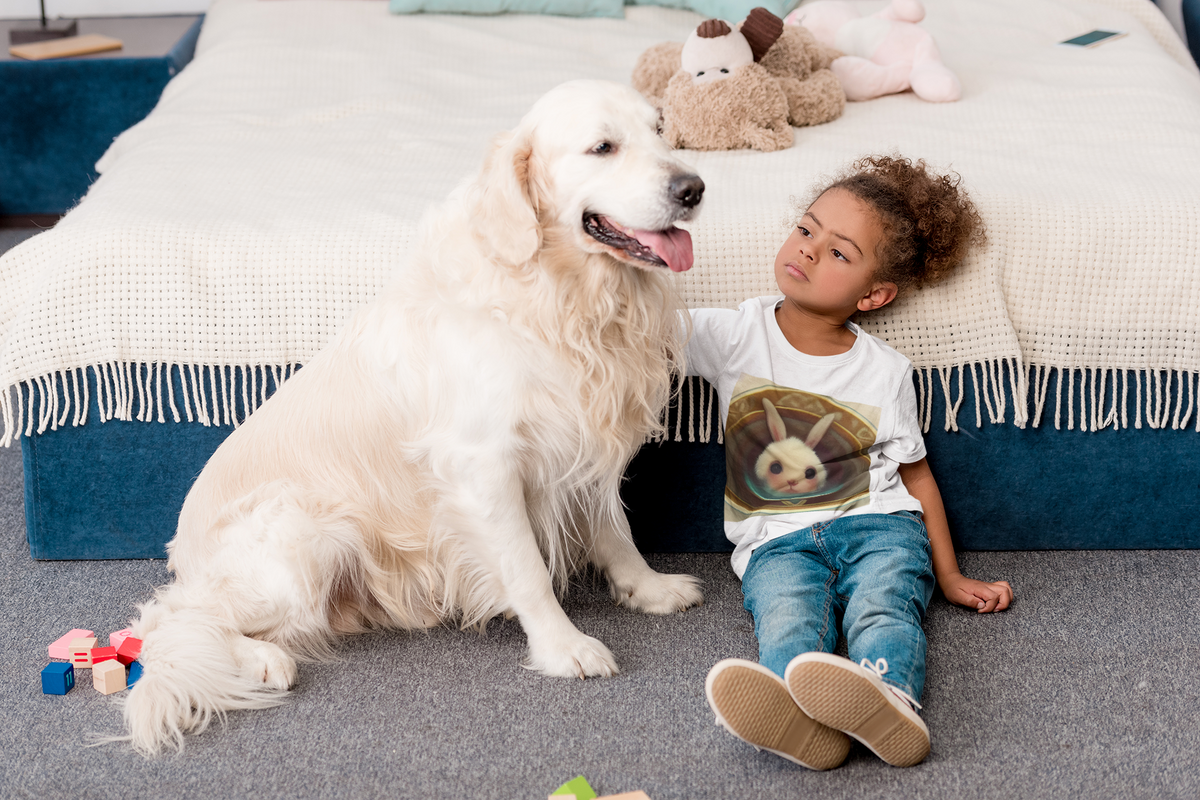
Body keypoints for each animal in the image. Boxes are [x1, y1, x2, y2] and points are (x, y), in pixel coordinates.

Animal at [115, 81, 700, 758]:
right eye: (602, 147)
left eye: (661, 130)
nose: (694, 188)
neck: (556, 293)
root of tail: (182, 548)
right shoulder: (483, 464)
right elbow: (526, 569)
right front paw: (563, 647)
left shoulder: (582, 441)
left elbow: (615, 528)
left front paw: (647, 587)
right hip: (306, 532)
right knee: (165, 620)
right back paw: (260, 660)